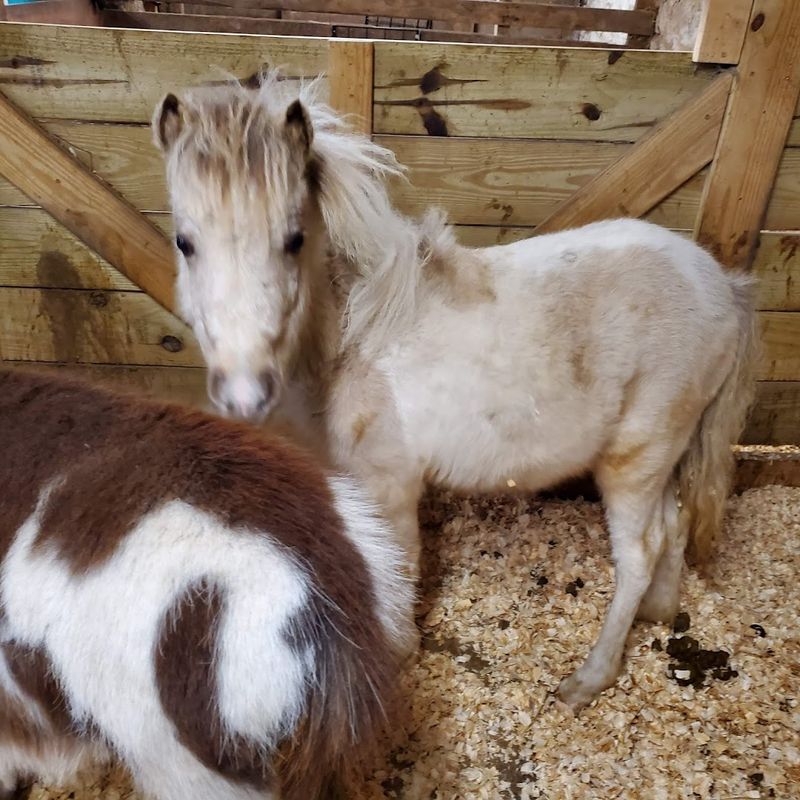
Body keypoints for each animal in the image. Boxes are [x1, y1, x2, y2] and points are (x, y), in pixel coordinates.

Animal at [153, 71, 757, 710]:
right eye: (185, 241)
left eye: (293, 239)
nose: (244, 393)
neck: (352, 340)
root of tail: (724, 284)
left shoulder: (390, 487)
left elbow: (396, 568)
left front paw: (398, 654)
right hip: (659, 457)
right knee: (673, 525)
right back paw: (659, 614)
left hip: (634, 459)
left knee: (639, 554)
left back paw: (589, 678)